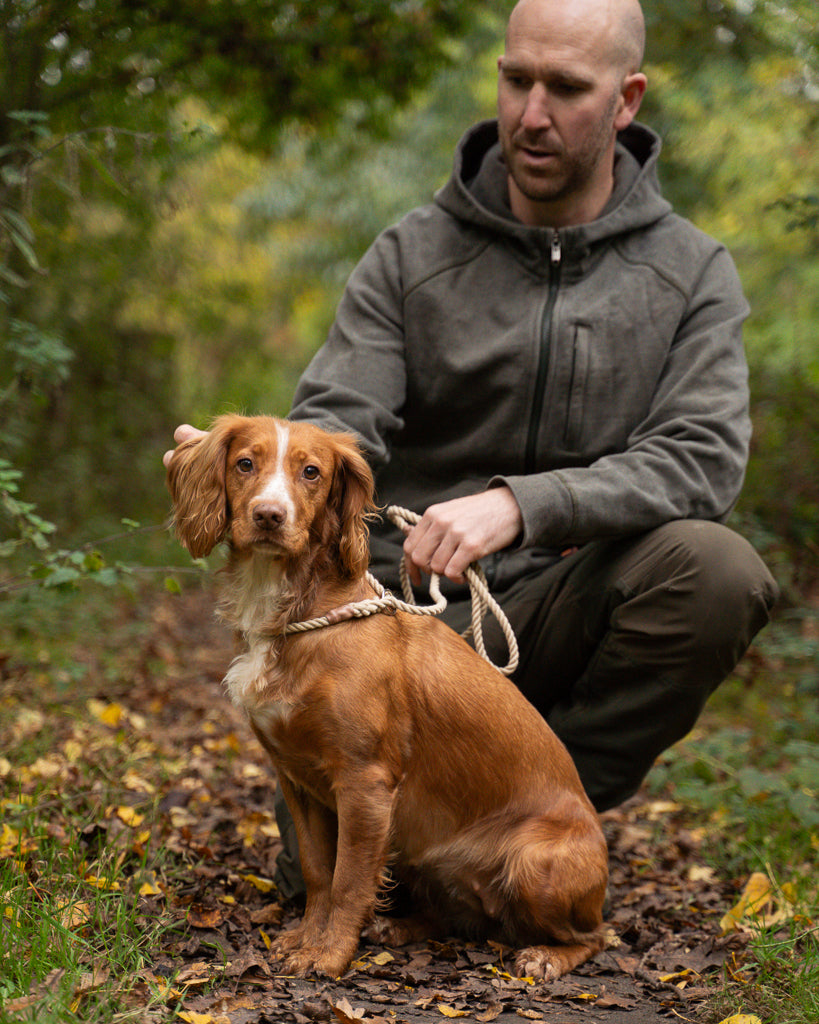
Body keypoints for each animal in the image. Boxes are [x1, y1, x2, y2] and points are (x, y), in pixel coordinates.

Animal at [165, 417, 610, 983]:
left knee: (598, 935)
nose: (269, 515)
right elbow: (319, 872)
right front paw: (307, 939)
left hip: (533, 864)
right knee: (459, 919)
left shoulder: (366, 781)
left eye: (312, 472)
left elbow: (350, 880)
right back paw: (399, 927)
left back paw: (546, 957)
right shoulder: (296, 779)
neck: (300, 613)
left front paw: (329, 955)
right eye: (245, 463)